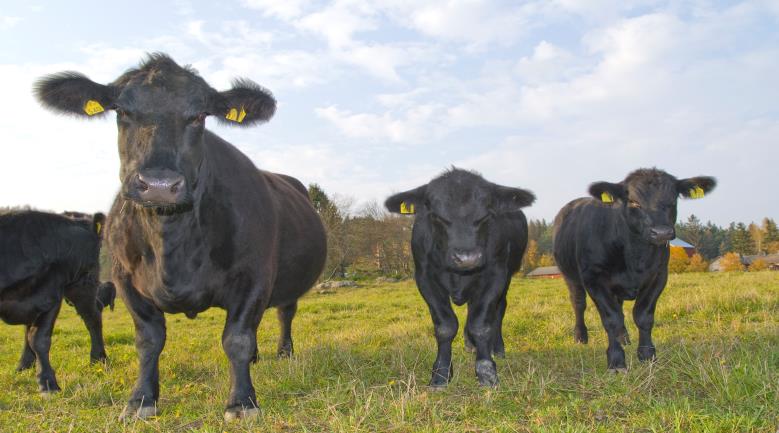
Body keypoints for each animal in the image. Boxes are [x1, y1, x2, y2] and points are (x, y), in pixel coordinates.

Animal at [0, 209, 114, 392]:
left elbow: (39, 339)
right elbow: (31, 335)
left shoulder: (50, 297)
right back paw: (23, 366)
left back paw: (98, 359)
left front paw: (48, 383)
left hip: (82, 283)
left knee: (93, 317)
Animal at [32, 53, 326, 418]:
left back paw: (283, 352)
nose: (159, 183)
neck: (173, 245)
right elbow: (148, 340)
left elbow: (237, 338)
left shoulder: (255, 275)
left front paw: (242, 401)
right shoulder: (124, 279)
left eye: (199, 115)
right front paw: (141, 400)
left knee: (285, 312)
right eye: (122, 110)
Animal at [386, 168, 532, 384]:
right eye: (435, 215)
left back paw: (497, 349)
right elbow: (445, 326)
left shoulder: (495, 274)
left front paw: (486, 371)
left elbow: (481, 324)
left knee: (498, 310)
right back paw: (470, 344)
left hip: (508, 275)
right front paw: (441, 373)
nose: (467, 258)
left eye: (486, 215)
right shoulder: (424, 277)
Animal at [556, 167, 712, 370]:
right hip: (571, 276)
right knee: (579, 303)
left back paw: (624, 338)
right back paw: (581, 336)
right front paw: (616, 360)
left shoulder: (658, 275)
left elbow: (643, 316)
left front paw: (647, 355)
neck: (635, 255)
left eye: (673, 199)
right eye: (634, 202)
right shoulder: (594, 278)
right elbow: (611, 318)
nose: (661, 232)